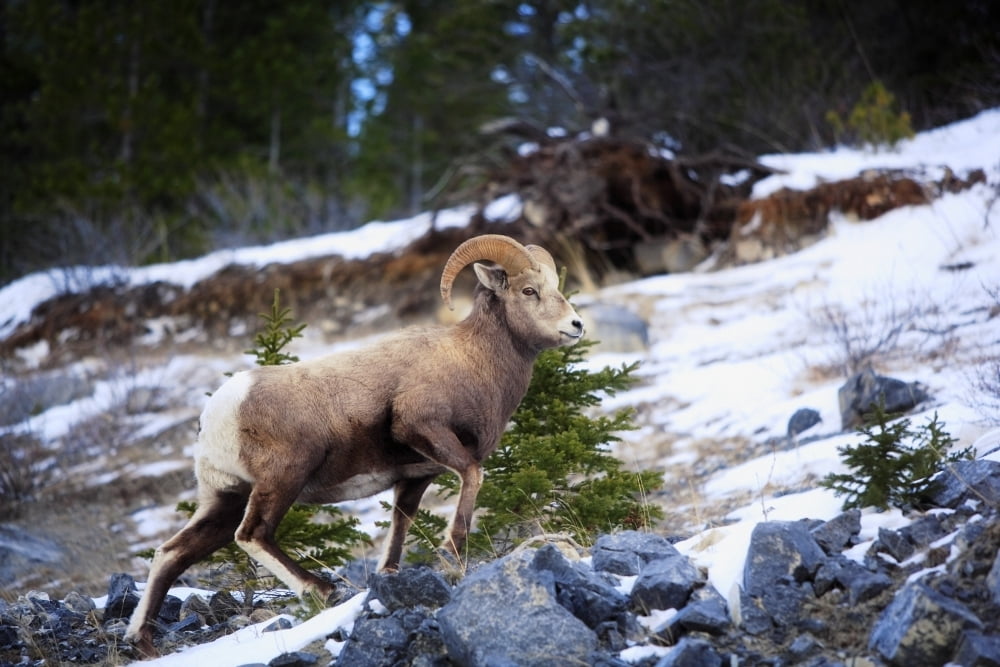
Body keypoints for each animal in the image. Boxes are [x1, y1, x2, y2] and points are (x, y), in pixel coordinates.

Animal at [125, 233, 585, 656]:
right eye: (529, 291)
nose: (576, 326)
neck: (474, 360)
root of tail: (218, 413)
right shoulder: (423, 428)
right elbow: (473, 474)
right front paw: (451, 550)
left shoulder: (414, 477)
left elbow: (400, 527)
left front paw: (391, 576)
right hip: (282, 480)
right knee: (252, 534)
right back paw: (321, 591)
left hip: (224, 499)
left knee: (172, 553)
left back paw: (142, 640)